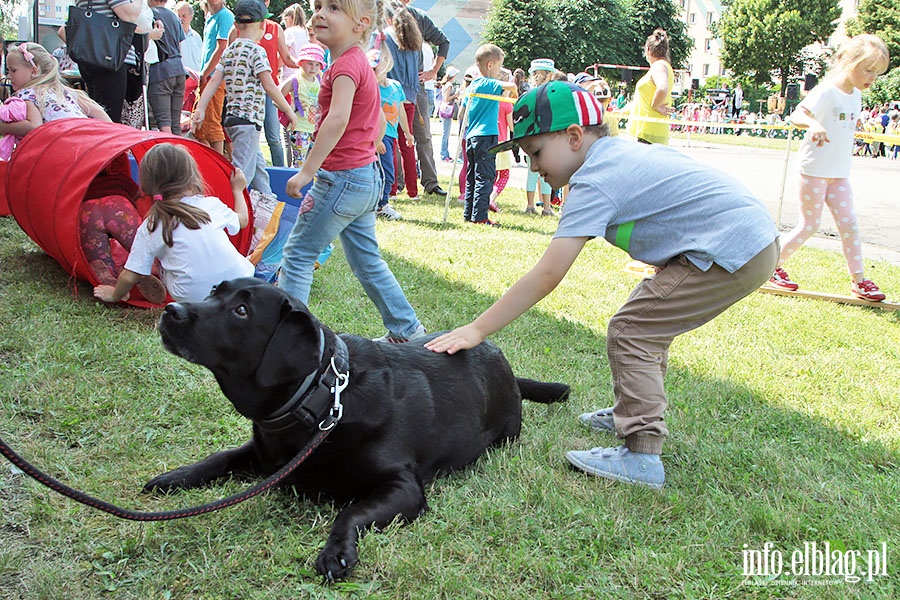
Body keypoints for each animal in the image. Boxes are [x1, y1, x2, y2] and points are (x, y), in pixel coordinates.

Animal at [148, 278, 568, 580]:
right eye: (214, 291)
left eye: (241, 311)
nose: (171, 309)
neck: (321, 399)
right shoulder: (266, 456)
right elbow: (220, 457)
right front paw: (176, 476)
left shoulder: (403, 487)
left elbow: (349, 513)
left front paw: (337, 552)